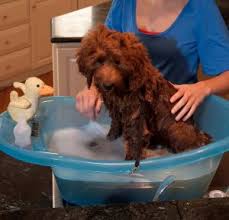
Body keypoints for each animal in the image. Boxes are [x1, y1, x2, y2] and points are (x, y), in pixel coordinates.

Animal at [76, 24, 212, 167]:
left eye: (118, 62)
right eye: (99, 61)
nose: (107, 85)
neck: (122, 88)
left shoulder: (136, 115)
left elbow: (134, 140)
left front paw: (130, 159)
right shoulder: (117, 110)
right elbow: (115, 124)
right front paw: (110, 138)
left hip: (175, 127)